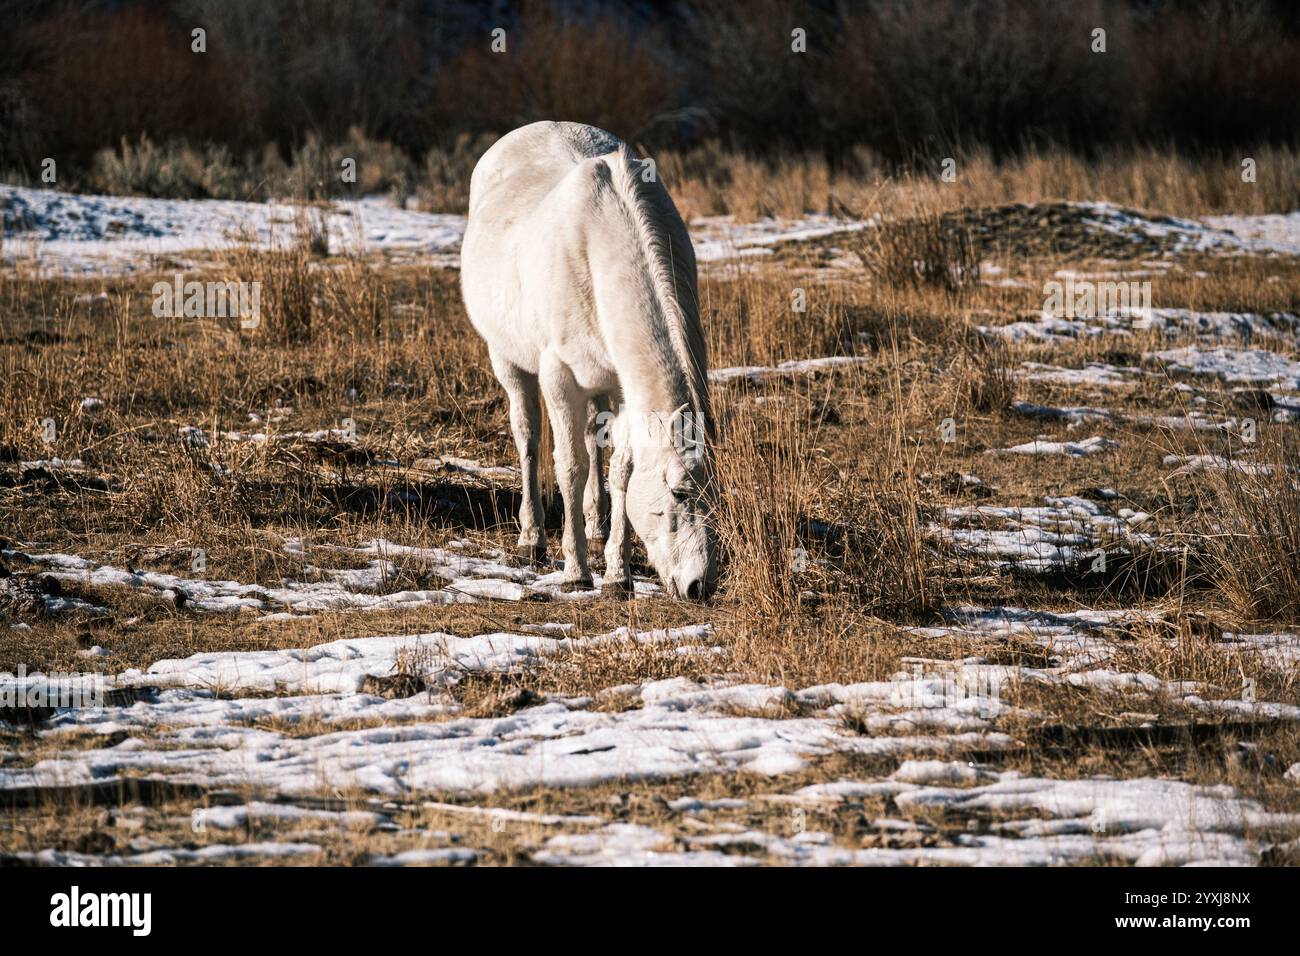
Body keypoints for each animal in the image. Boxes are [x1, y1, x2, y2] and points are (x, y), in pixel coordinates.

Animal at [460, 119, 722, 598]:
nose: (700, 585)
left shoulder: (625, 385)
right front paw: (577, 570)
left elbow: (620, 469)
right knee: (528, 437)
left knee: (594, 439)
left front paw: (618, 575)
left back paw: (596, 527)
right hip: (508, 360)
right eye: (679, 493)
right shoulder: (559, 376)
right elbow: (570, 466)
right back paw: (532, 538)